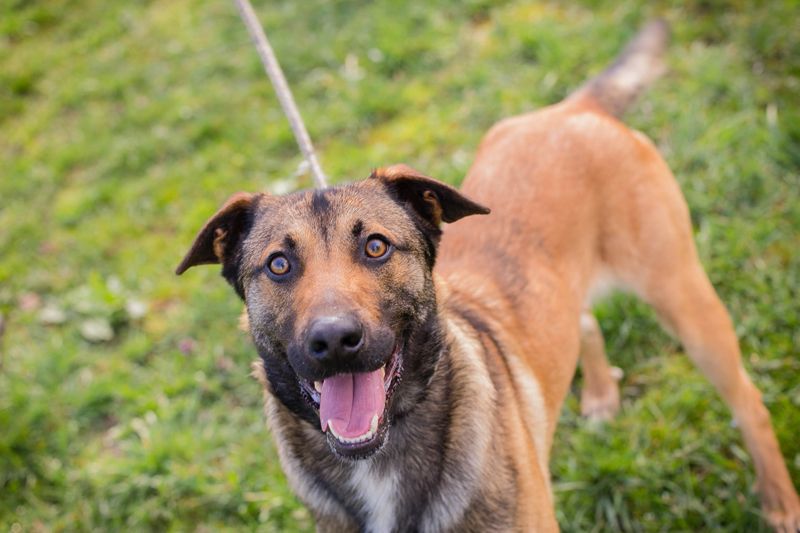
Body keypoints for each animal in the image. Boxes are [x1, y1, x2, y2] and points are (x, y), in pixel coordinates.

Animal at [176, 20, 800, 532]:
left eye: (376, 246)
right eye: (279, 264)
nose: (333, 341)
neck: (380, 458)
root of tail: (570, 109)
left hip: (682, 295)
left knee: (747, 399)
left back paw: (777, 499)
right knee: (584, 320)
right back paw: (600, 393)